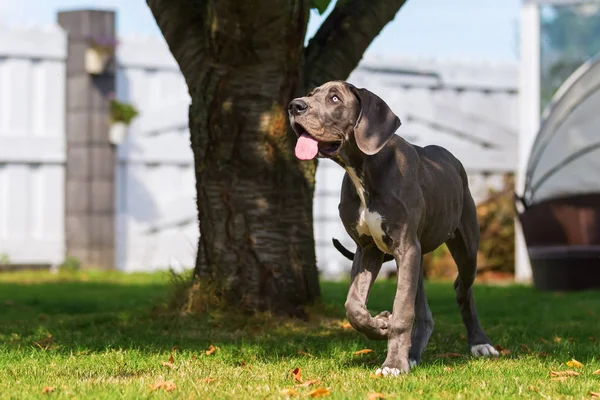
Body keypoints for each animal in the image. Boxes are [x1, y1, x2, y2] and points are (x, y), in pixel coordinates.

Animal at [288, 80, 500, 376]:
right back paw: (412, 353)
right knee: (424, 312)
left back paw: (480, 343)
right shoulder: (368, 249)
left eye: (334, 98)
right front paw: (380, 324)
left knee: (462, 289)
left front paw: (393, 364)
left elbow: (402, 309)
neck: (364, 169)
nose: (294, 106)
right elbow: (353, 306)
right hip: (416, 257)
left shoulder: (405, 246)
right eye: (310, 94)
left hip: (465, 247)